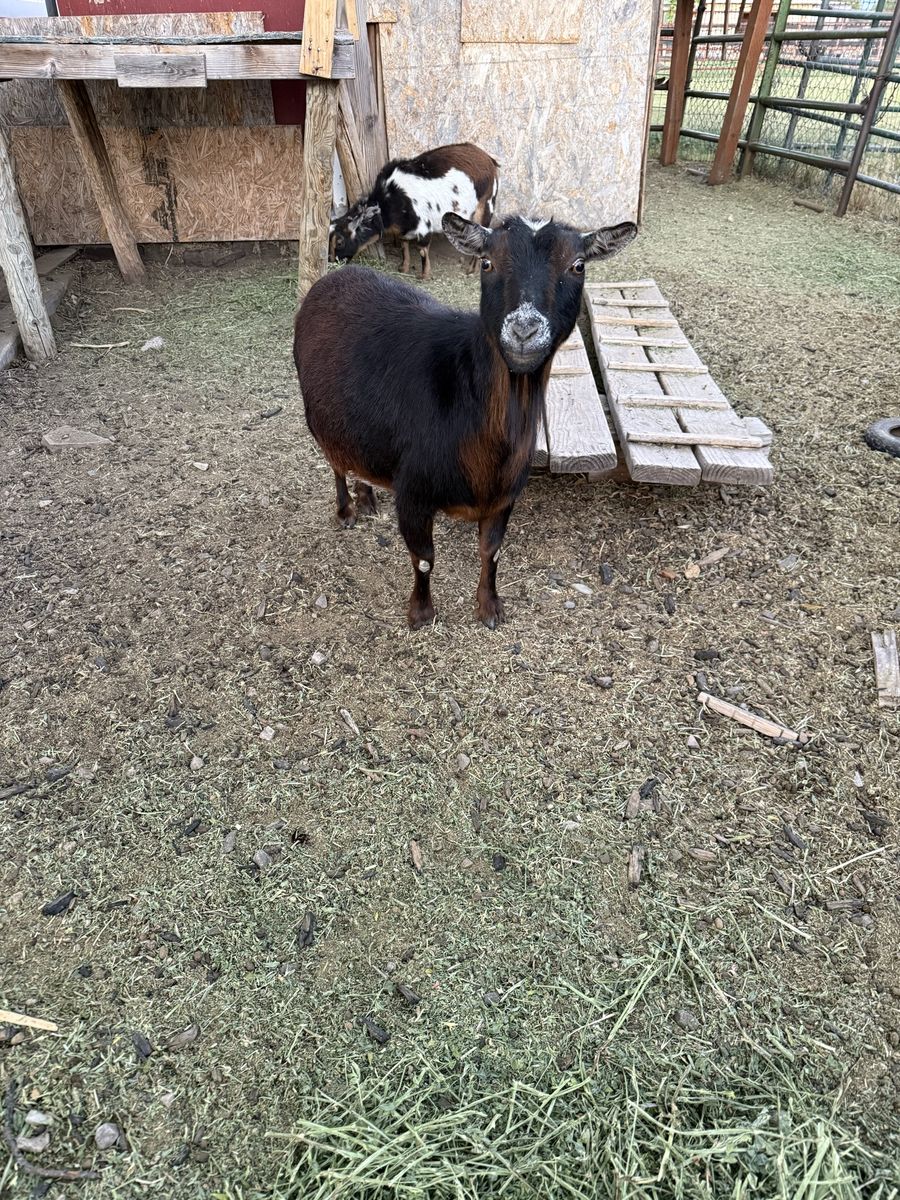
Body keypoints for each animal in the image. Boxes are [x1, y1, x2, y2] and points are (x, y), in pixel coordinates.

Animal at [294, 212, 637, 628]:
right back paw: (346, 510)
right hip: (318, 417)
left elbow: (492, 552)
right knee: (335, 463)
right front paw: (421, 613)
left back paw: (367, 497)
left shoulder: (505, 494)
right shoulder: (413, 491)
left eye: (578, 265)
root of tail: (332, 277)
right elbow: (424, 558)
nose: (524, 331)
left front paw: (489, 607)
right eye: (486, 262)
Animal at [329, 143, 499, 280]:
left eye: (340, 241)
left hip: (485, 206)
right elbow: (404, 245)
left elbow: (422, 251)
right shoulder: (404, 228)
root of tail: (490, 160)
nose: (331, 262)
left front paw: (424, 275)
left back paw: (471, 270)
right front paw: (403, 267)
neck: (391, 197)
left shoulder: (424, 226)